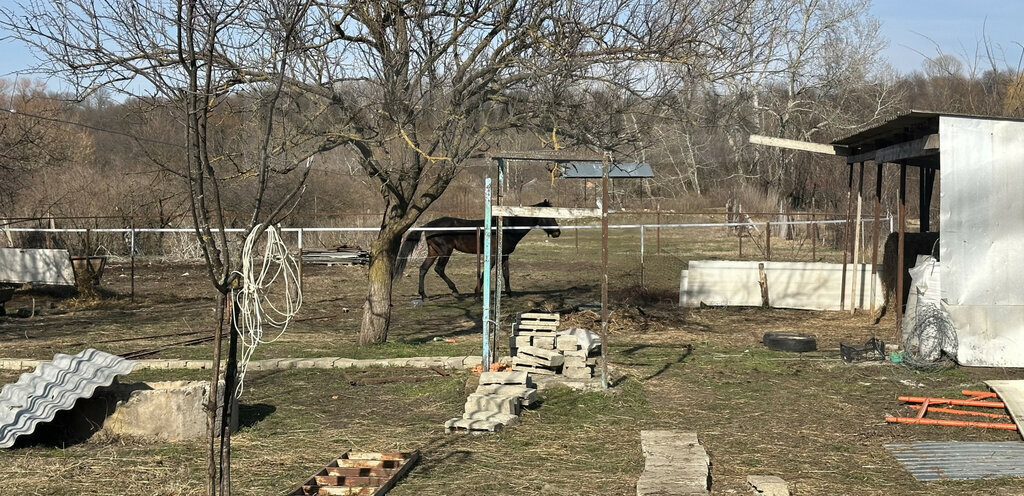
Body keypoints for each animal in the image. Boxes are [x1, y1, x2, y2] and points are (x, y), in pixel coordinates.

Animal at [395, 200, 565, 299]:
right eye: (548, 216)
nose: (557, 233)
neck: (506, 228)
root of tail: (427, 226)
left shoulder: (505, 255)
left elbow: (506, 274)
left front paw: (509, 293)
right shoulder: (494, 255)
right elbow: (485, 273)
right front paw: (477, 292)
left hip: (433, 251)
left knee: (423, 269)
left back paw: (424, 295)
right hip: (445, 251)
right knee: (439, 269)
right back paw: (455, 291)